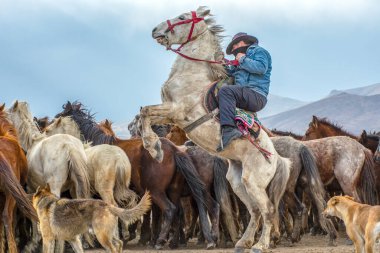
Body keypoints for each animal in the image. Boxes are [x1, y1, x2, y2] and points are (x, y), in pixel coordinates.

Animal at [55, 101, 218, 249]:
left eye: (61, 115)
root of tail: (174, 149)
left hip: (156, 191)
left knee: (170, 210)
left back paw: (160, 241)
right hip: (173, 190)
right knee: (180, 212)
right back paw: (177, 242)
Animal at [140, 6, 290, 253]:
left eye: (182, 17)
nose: (155, 30)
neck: (193, 76)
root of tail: (277, 158)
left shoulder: (176, 110)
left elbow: (145, 111)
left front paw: (154, 148)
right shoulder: (169, 112)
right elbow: (143, 113)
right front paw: (153, 146)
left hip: (254, 181)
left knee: (267, 210)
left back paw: (260, 244)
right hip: (238, 181)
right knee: (255, 211)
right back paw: (243, 242)